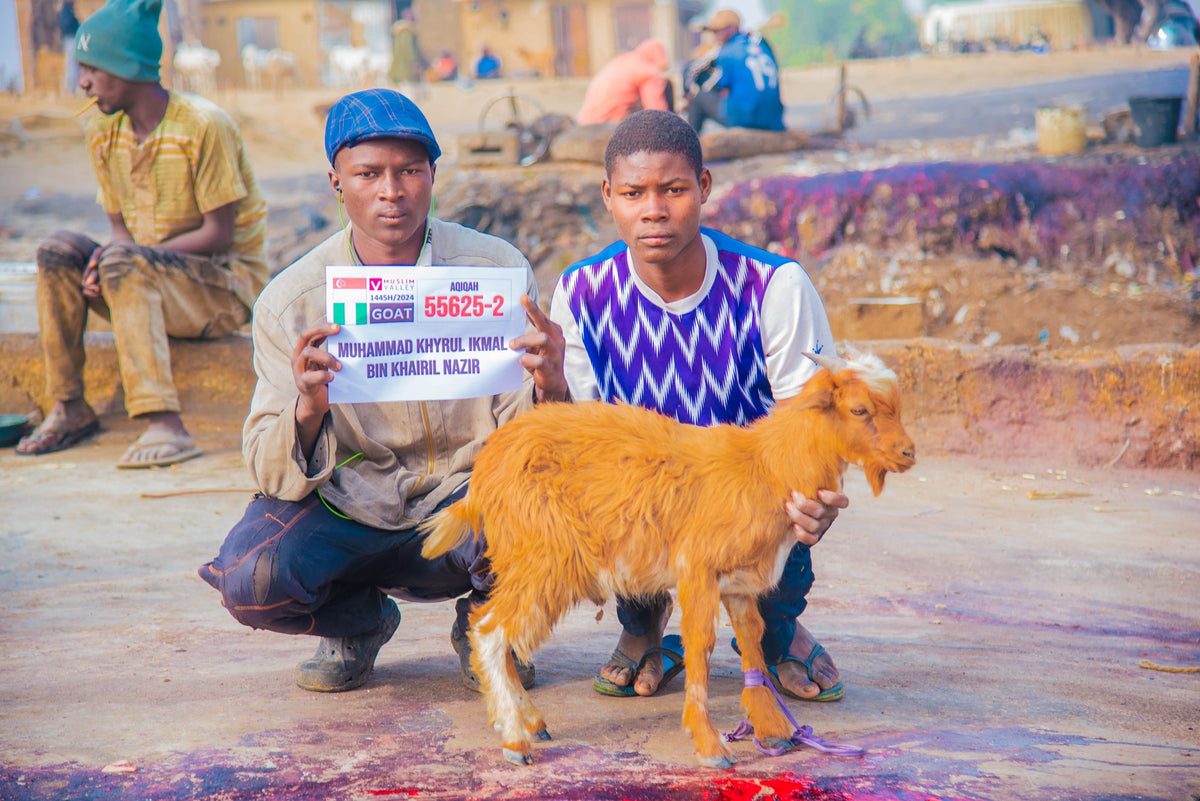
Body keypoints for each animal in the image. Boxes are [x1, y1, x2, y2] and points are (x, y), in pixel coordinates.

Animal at [421, 351, 916, 767]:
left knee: (497, 629)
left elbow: (752, 645)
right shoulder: (697, 569)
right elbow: (701, 647)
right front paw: (710, 746)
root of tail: (487, 467)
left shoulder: (739, 583)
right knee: (490, 631)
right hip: (543, 558)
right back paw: (513, 739)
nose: (908, 453)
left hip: (524, 561)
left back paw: (531, 722)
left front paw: (771, 727)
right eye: (859, 410)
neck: (762, 467)